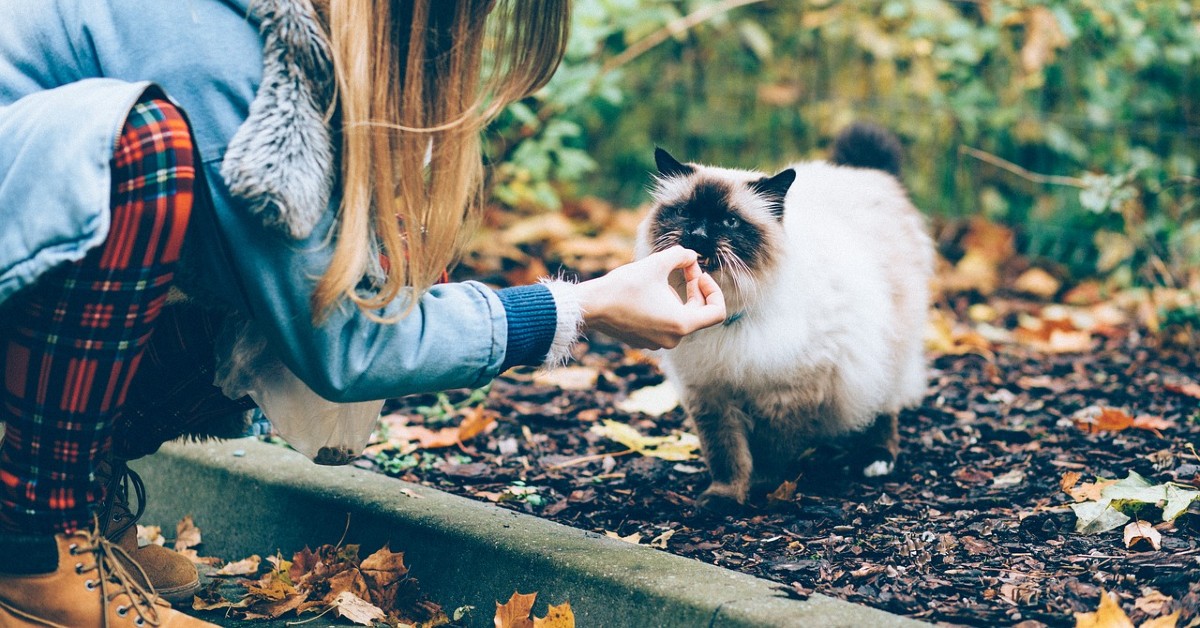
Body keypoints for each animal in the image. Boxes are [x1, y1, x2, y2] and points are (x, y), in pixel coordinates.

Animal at [633, 124, 931, 516]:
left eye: (729, 222)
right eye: (685, 213)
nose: (696, 236)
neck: (729, 314)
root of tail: (865, 173)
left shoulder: (785, 394)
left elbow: (769, 453)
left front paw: (760, 491)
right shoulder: (711, 394)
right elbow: (726, 456)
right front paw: (723, 500)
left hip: (885, 353)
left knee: (884, 408)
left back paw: (875, 460)